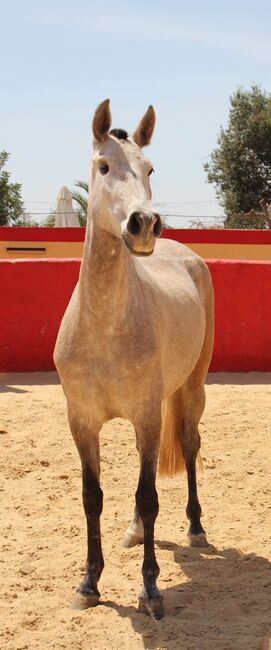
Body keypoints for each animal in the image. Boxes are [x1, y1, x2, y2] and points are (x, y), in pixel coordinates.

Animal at [53, 98, 215, 620]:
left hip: (191, 390)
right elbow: (92, 498)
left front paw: (150, 589)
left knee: (189, 446)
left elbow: (148, 496)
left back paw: (196, 528)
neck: (105, 326)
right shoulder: (82, 422)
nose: (144, 225)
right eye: (104, 166)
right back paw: (134, 531)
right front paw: (89, 583)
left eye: (149, 169)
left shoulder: (145, 416)